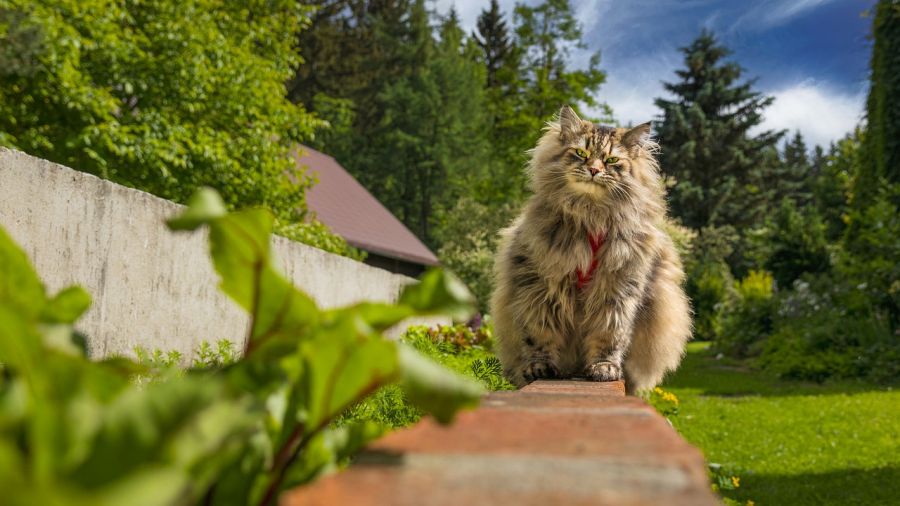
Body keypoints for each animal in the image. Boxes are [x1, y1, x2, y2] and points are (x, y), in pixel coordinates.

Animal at [492, 105, 688, 394]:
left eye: (612, 160)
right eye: (581, 153)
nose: (594, 169)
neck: (591, 215)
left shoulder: (619, 288)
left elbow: (610, 334)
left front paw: (604, 367)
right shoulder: (537, 286)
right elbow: (539, 333)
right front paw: (540, 367)